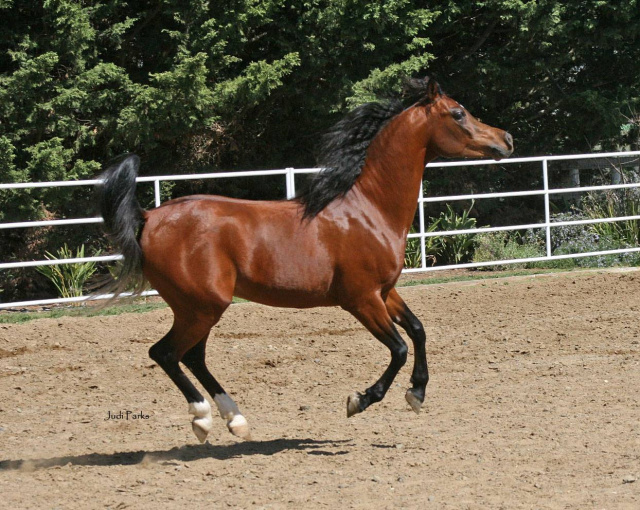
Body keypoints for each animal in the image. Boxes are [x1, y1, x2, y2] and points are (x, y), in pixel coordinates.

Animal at [96, 76, 516, 442]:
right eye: (458, 113)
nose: (507, 139)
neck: (369, 209)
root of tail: (149, 218)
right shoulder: (361, 299)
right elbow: (398, 348)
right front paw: (360, 400)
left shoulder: (385, 291)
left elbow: (418, 330)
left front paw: (417, 393)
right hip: (202, 305)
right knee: (167, 352)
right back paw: (202, 418)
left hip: (198, 308)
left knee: (192, 356)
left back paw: (236, 421)